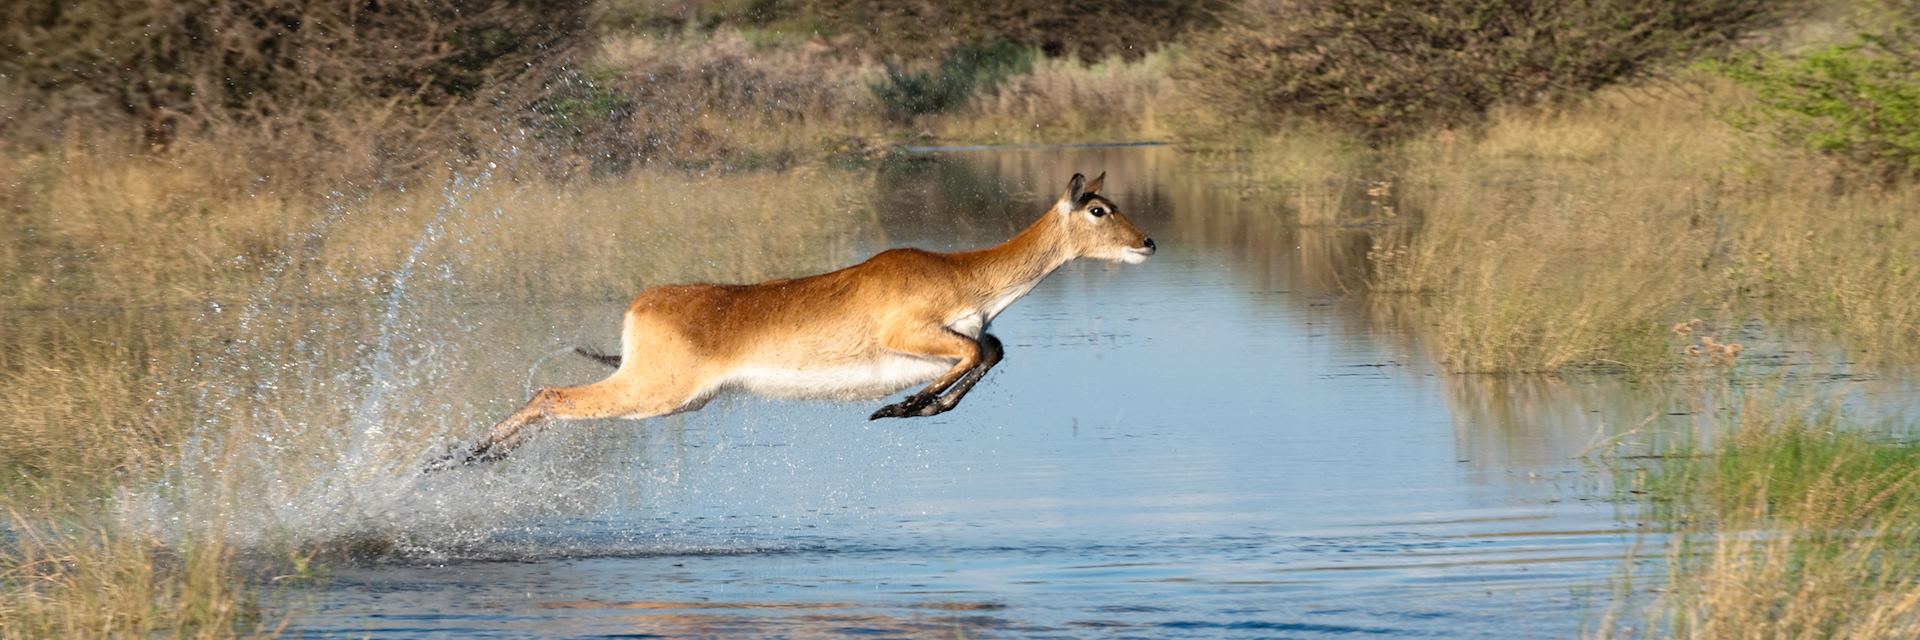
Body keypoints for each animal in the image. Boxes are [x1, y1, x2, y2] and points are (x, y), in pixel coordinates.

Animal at [432, 171, 1152, 468]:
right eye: (1099, 209)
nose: (1147, 243)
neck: (962, 274)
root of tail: (642, 303)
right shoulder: (909, 335)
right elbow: (978, 354)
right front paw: (900, 408)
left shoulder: (962, 338)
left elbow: (991, 350)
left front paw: (910, 408)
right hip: (653, 393)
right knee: (550, 393)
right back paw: (454, 458)